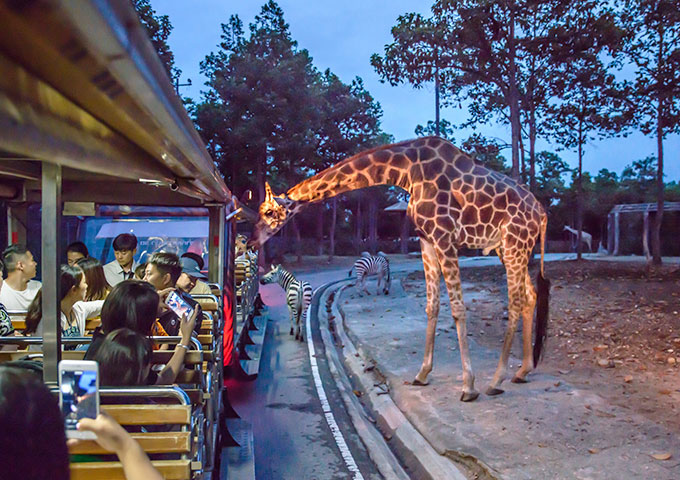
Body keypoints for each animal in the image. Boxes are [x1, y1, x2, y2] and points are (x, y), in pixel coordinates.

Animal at [247, 136, 548, 402]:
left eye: (269, 213)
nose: (251, 241)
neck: (407, 171)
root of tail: (542, 213)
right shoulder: (427, 241)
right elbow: (432, 306)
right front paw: (422, 374)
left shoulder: (445, 238)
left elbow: (458, 308)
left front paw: (468, 387)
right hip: (508, 248)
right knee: (530, 296)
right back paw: (522, 371)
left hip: (514, 244)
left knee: (516, 301)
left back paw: (496, 381)